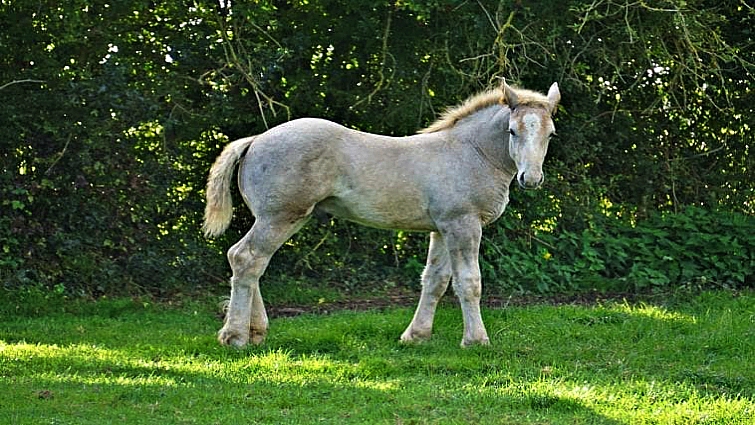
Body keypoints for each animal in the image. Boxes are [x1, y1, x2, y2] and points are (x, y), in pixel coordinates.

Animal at [203, 81, 560, 348]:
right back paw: (235, 336)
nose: (531, 179)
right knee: (246, 258)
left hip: (284, 218)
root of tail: (255, 140)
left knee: (252, 262)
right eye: (512, 130)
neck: (471, 152)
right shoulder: (463, 224)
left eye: (550, 133)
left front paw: (415, 336)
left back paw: (255, 331)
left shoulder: (442, 228)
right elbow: (468, 282)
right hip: (279, 217)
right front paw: (476, 340)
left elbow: (434, 280)